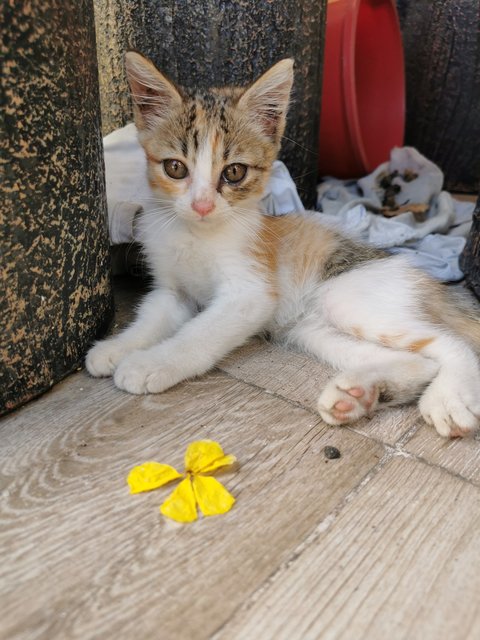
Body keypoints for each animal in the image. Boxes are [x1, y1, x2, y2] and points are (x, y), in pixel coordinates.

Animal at [86, 52, 480, 438]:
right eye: (175, 168)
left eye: (234, 172)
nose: (202, 205)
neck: (196, 234)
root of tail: (428, 281)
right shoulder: (173, 291)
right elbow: (151, 318)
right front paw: (116, 348)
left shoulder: (250, 293)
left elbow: (198, 334)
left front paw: (152, 363)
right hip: (312, 329)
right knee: (417, 360)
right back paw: (359, 394)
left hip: (348, 296)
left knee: (454, 343)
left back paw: (449, 397)